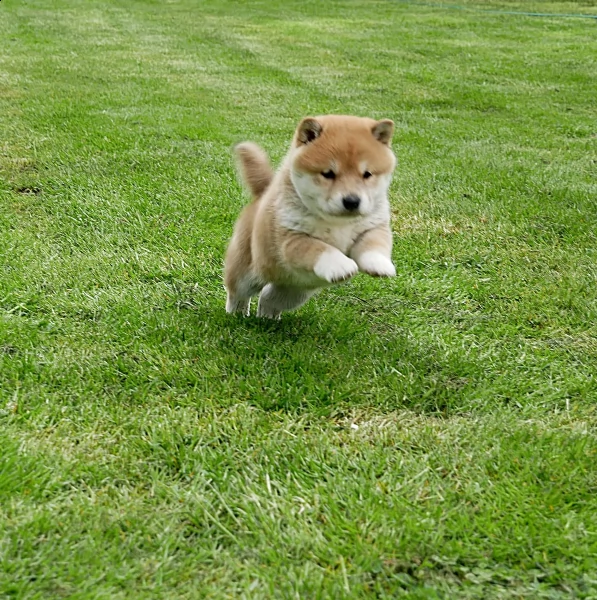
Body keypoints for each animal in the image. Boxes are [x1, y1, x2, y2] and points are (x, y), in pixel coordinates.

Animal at [224, 113, 396, 318]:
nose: (352, 201)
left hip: (294, 291)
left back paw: (268, 318)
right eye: (328, 173)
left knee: (268, 298)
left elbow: (375, 243)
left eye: (367, 174)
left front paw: (379, 264)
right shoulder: (291, 238)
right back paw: (236, 313)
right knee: (237, 291)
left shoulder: (373, 226)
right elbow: (318, 248)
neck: (339, 224)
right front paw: (341, 266)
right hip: (247, 272)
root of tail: (262, 193)